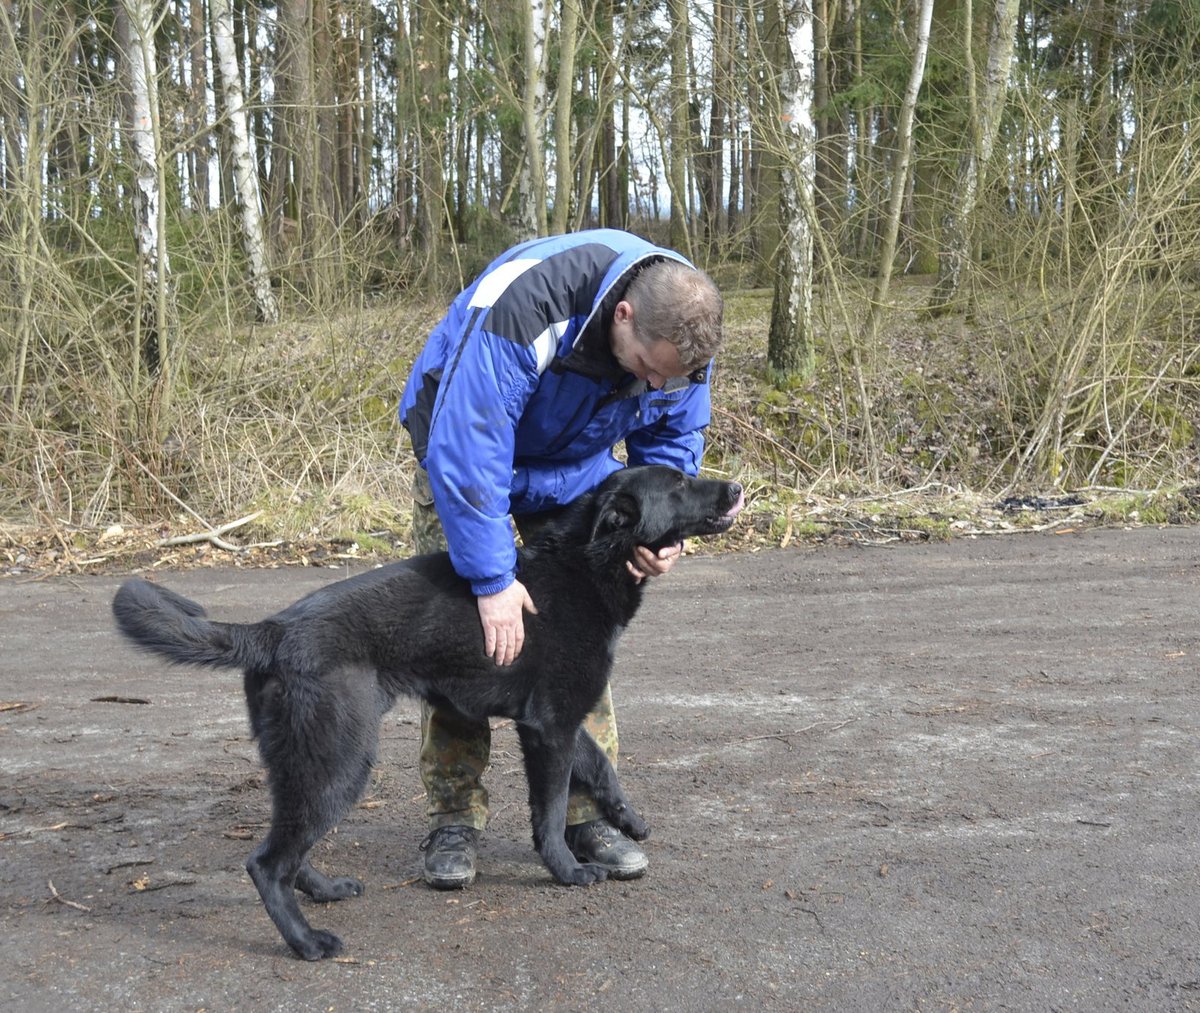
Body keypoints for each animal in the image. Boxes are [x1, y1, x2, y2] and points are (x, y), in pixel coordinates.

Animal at [117, 465, 744, 955]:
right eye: (679, 482)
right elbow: (550, 813)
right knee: (267, 863)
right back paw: (306, 942)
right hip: (341, 762)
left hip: (302, 765)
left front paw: (626, 819)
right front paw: (567, 872)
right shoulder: (548, 729)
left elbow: (601, 766)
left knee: (291, 848)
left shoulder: (557, 723)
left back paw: (323, 891)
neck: (585, 565)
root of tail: (271, 631)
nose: (738, 488)